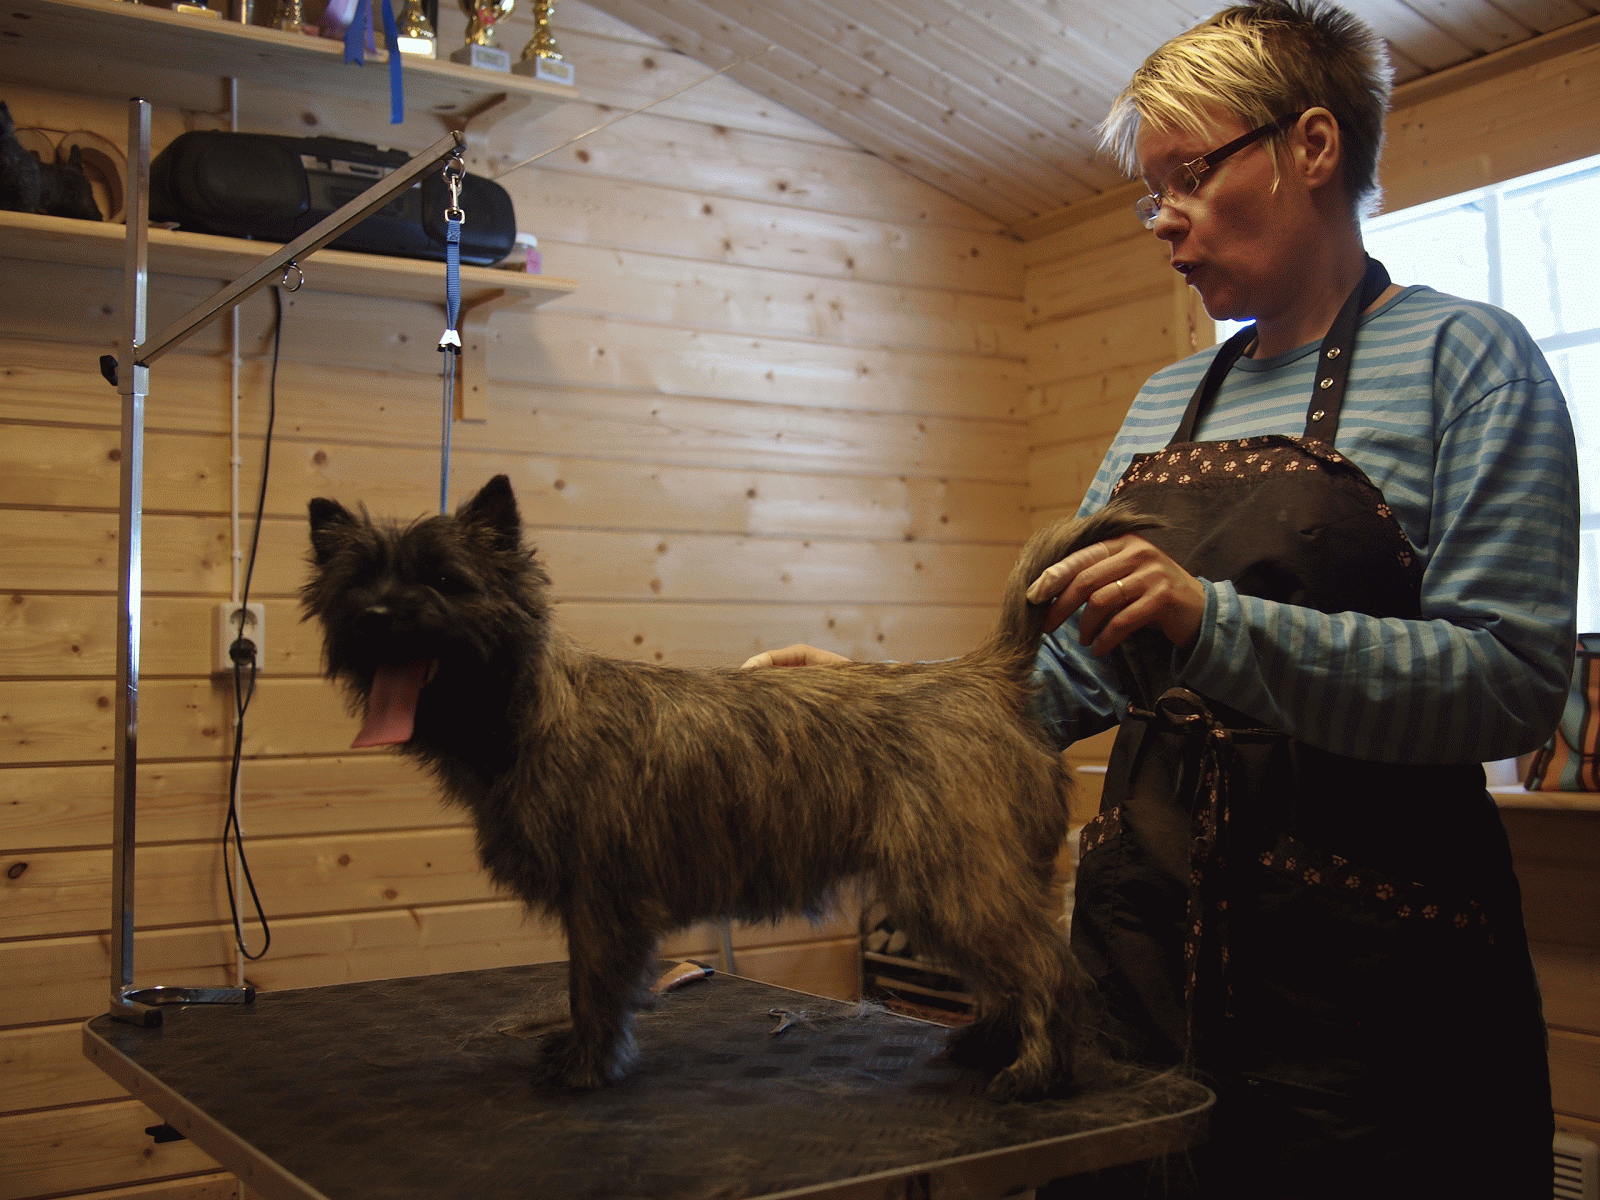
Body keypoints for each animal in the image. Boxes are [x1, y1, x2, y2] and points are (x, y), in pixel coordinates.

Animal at [303, 475, 1155, 1100]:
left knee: (1047, 969)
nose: (376, 615)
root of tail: (989, 672)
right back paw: (987, 1044)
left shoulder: (601, 901)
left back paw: (1038, 1072)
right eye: (356, 581)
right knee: (1012, 970)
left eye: (446, 580)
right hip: (953, 882)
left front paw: (586, 1067)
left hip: (956, 877)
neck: (526, 708)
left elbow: (591, 987)